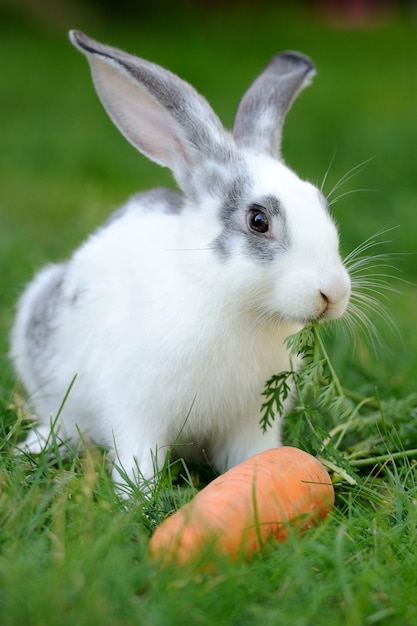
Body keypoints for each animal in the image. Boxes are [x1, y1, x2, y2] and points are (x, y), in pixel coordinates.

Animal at [9, 29, 350, 486]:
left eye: (320, 202)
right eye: (258, 220)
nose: (333, 293)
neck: (235, 307)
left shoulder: (248, 425)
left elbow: (251, 455)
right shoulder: (138, 413)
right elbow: (139, 461)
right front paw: (137, 497)